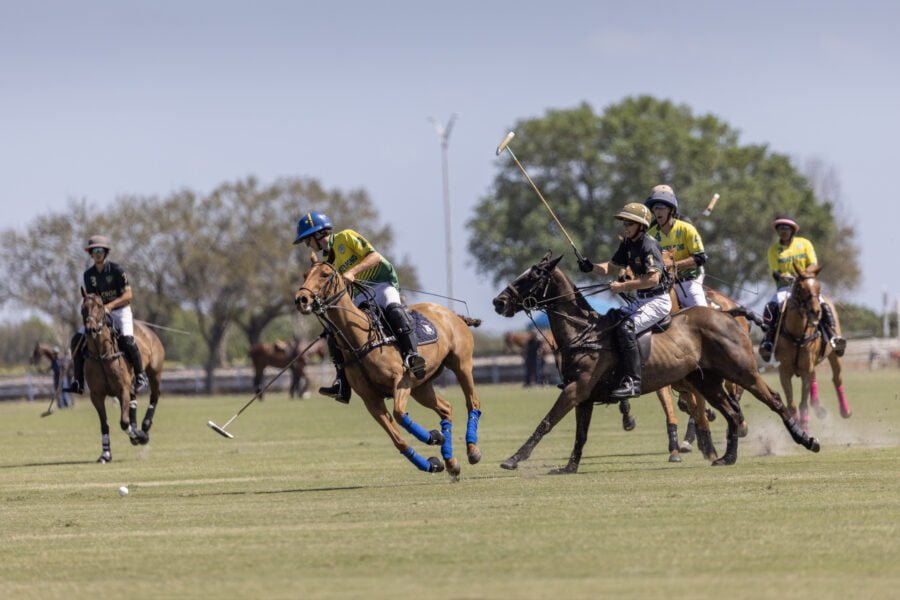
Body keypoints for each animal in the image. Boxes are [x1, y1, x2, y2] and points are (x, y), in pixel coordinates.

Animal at [79, 290, 165, 464]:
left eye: (100, 305)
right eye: (83, 308)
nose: (91, 329)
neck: (101, 355)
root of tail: (148, 330)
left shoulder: (122, 389)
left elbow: (124, 423)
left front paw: (138, 435)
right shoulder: (96, 395)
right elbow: (104, 424)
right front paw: (105, 454)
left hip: (155, 372)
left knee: (155, 396)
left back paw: (145, 428)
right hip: (132, 385)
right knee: (133, 401)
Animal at [294, 255, 486, 480]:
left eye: (324, 274)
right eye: (305, 275)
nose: (301, 299)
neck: (361, 340)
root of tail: (452, 314)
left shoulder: (401, 382)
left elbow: (400, 414)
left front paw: (433, 437)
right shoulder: (371, 400)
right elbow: (398, 439)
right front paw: (432, 460)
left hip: (461, 364)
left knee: (472, 402)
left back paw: (472, 450)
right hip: (421, 387)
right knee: (446, 408)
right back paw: (450, 461)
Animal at [488, 253, 820, 474]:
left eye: (533, 276)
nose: (498, 302)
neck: (584, 332)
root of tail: (726, 313)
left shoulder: (575, 390)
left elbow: (546, 422)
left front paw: (513, 459)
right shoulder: (583, 396)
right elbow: (580, 434)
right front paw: (569, 467)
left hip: (742, 371)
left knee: (773, 400)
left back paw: (807, 440)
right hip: (707, 380)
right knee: (731, 411)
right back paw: (726, 457)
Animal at [772, 266, 852, 432]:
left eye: (818, 288)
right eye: (800, 288)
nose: (816, 312)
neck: (796, 334)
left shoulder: (806, 370)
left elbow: (803, 404)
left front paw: (804, 428)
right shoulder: (784, 371)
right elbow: (791, 405)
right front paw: (797, 426)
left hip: (833, 354)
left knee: (836, 378)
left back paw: (845, 410)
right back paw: (819, 408)